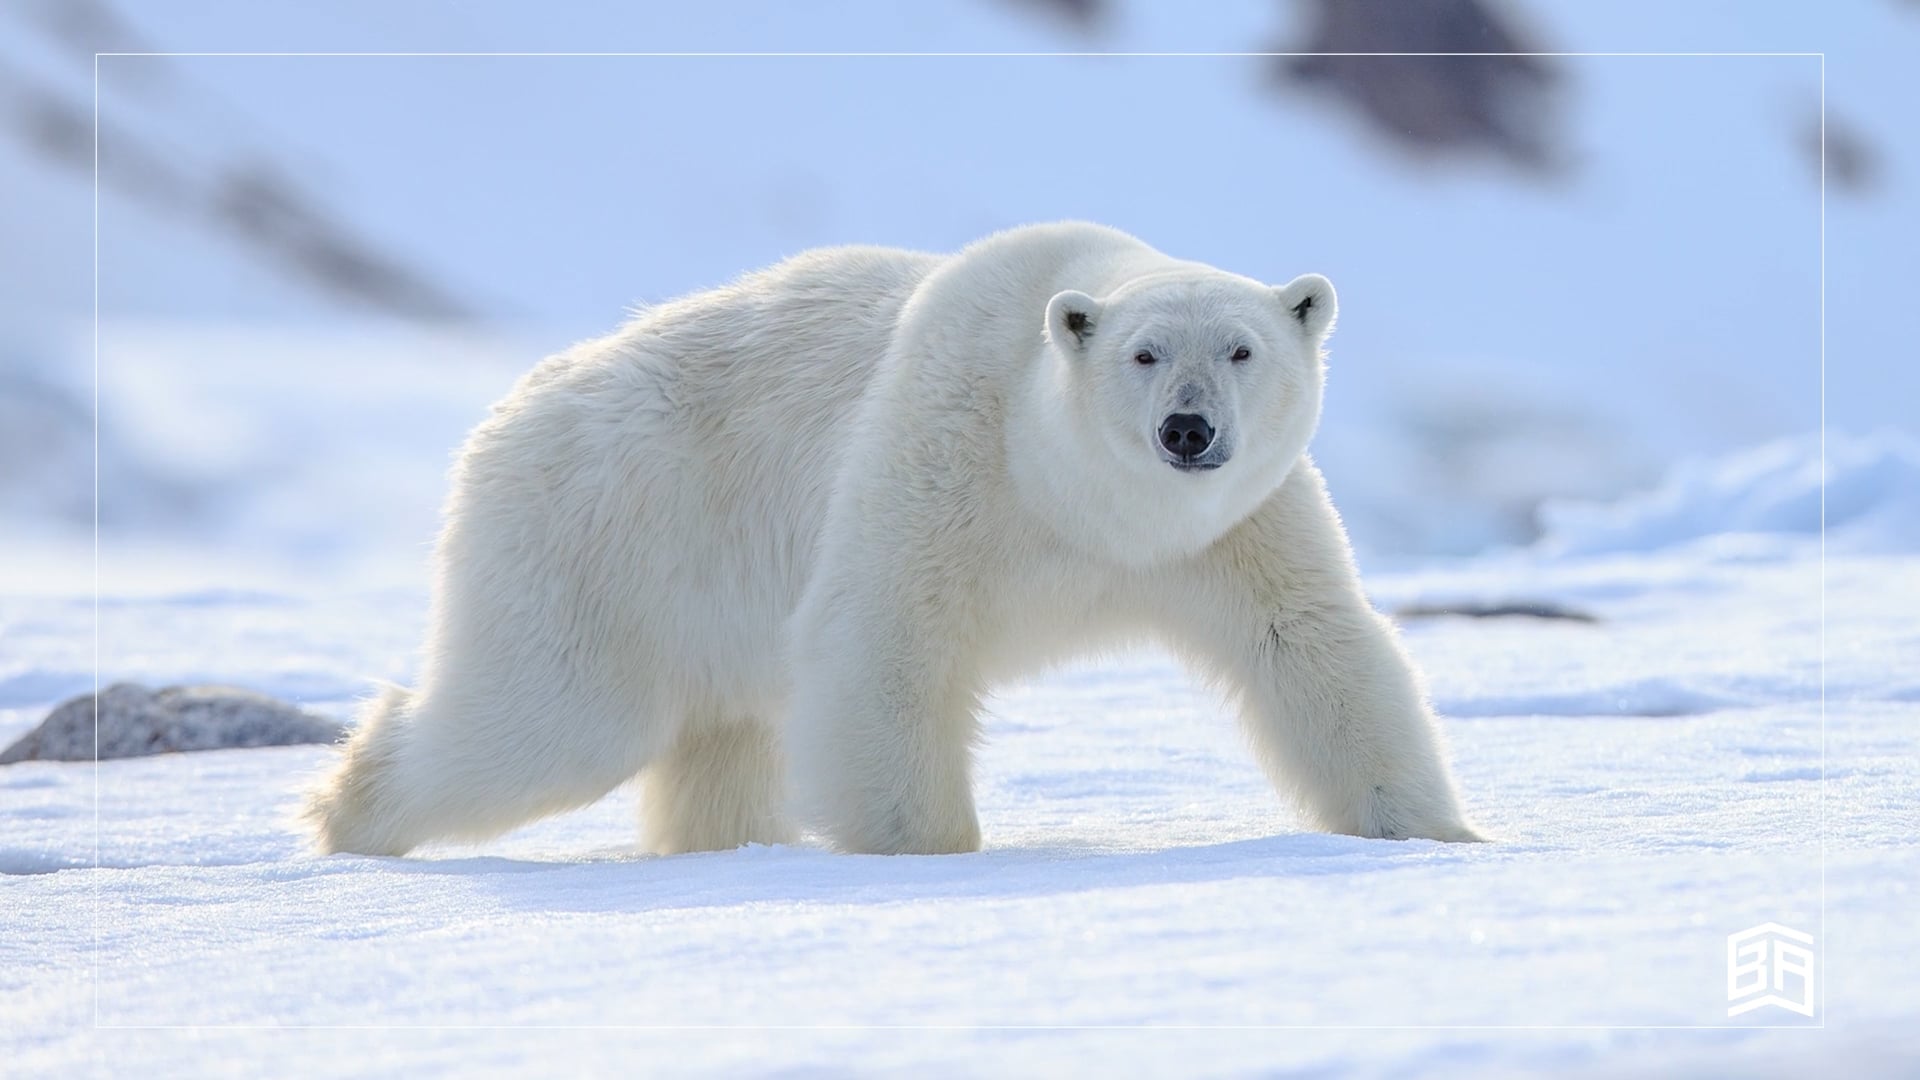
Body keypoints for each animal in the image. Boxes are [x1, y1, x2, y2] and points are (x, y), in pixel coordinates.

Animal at [302, 221, 1483, 857]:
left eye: (1242, 349)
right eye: (1144, 354)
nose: (1188, 431)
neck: (1077, 501)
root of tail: (510, 411)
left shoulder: (1235, 528)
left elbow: (1312, 646)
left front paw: (1437, 834)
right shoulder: (944, 452)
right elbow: (884, 640)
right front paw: (928, 853)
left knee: (718, 739)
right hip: (608, 533)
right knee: (550, 720)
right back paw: (347, 812)